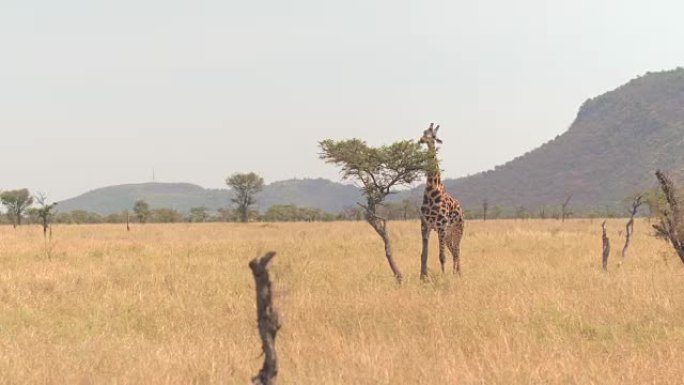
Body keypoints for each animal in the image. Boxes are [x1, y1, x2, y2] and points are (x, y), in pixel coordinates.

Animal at [416, 121, 464, 278]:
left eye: (434, 136)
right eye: (424, 132)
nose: (422, 140)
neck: (432, 192)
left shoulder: (441, 226)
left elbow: (442, 257)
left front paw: (443, 277)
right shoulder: (425, 226)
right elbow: (423, 255)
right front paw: (423, 277)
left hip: (457, 229)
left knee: (457, 251)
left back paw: (457, 274)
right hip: (448, 234)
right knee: (453, 250)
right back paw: (455, 273)